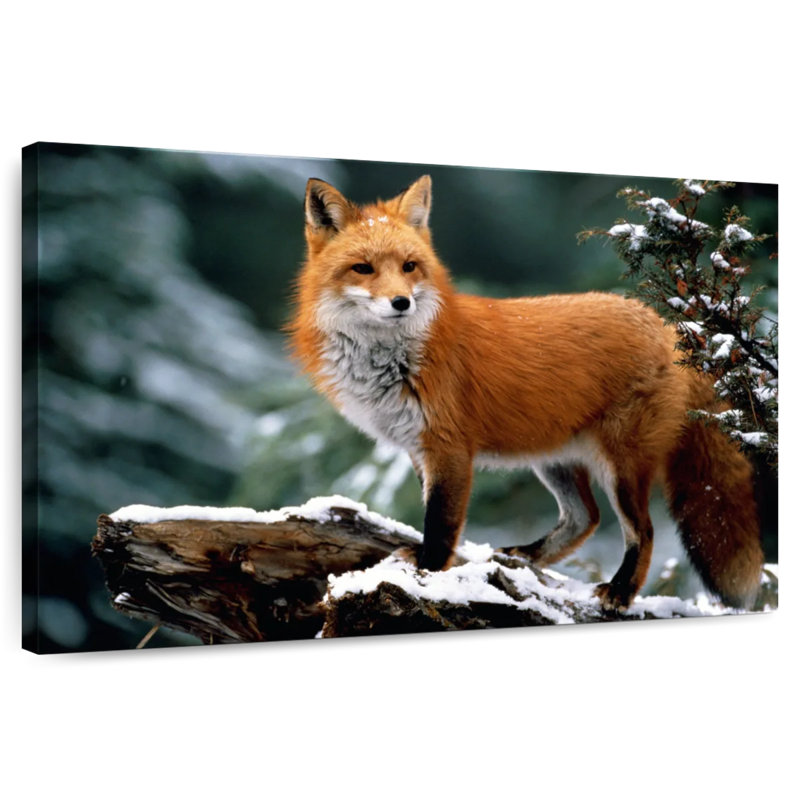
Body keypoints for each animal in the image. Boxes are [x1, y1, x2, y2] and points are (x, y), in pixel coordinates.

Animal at [288, 174, 763, 611]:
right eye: (363, 268)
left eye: (409, 267)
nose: (402, 302)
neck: (393, 360)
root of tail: (668, 327)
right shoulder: (417, 447)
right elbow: (433, 517)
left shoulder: (449, 448)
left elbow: (440, 524)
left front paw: (427, 574)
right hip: (553, 458)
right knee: (584, 518)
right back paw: (526, 557)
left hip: (621, 465)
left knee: (640, 530)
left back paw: (620, 591)